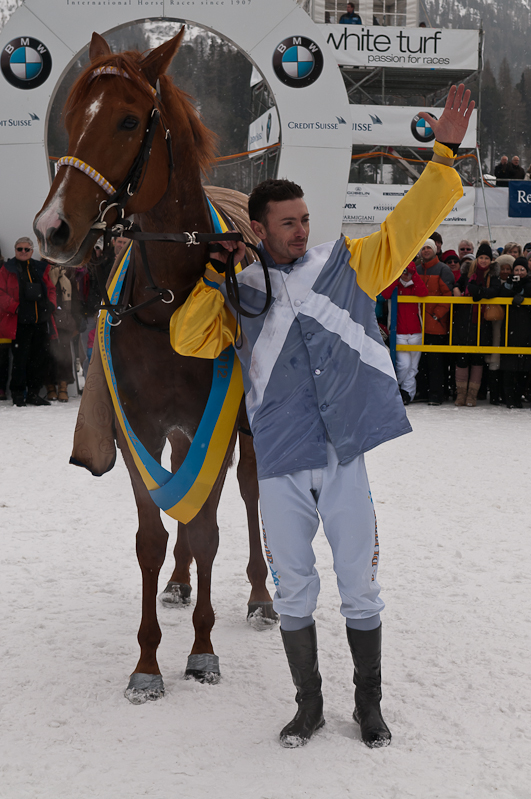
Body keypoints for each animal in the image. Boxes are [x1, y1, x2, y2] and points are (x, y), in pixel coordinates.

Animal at [32, 29, 276, 708]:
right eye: (72, 119)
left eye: (127, 120)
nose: (52, 227)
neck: (169, 298)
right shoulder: (137, 424)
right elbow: (153, 536)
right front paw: (147, 661)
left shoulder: (217, 423)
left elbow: (209, 527)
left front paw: (202, 650)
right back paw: (179, 583)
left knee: (249, 493)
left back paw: (260, 594)